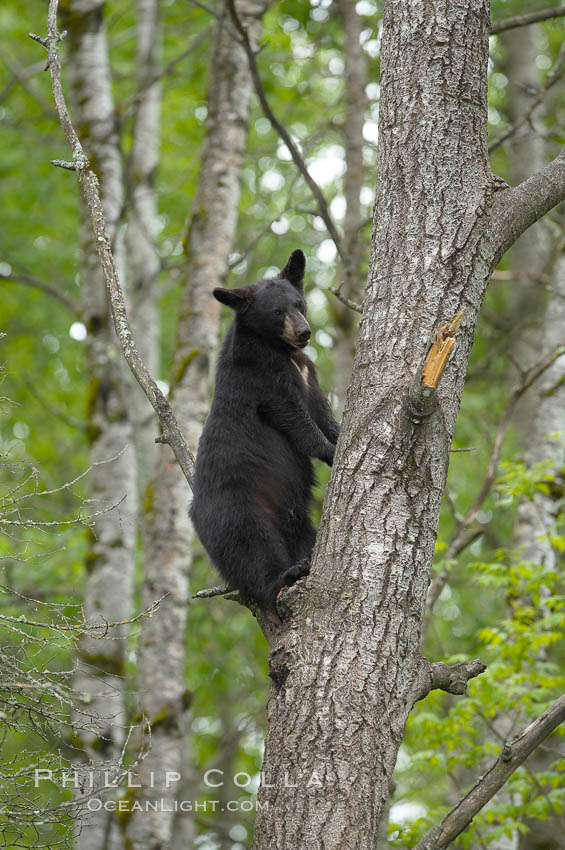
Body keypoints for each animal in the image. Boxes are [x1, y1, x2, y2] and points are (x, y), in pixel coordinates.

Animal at [189, 248, 340, 612]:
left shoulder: (307, 374)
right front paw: (331, 450)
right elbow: (295, 417)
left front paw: (339, 433)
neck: (283, 351)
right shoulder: (261, 377)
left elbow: (321, 412)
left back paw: (302, 563)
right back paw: (285, 576)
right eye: (277, 312)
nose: (304, 333)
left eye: (299, 303)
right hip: (236, 508)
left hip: (296, 520)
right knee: (252, 551)